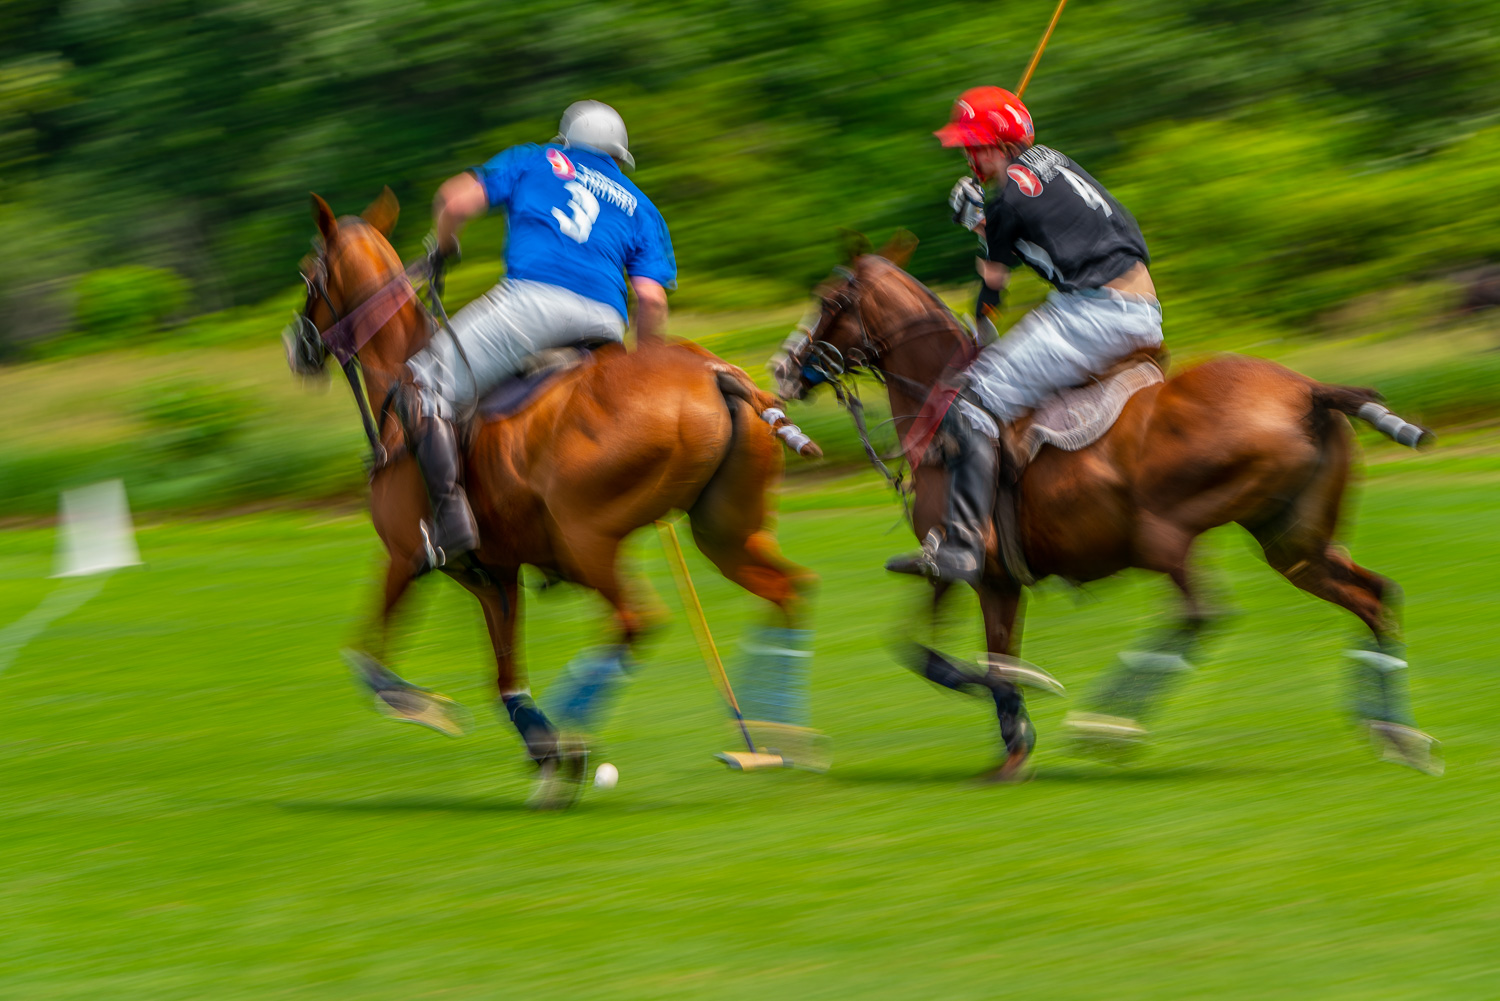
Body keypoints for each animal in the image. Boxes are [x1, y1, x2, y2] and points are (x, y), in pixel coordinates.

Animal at [286, 192, 816, 810]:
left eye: (308, 270)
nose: (297, 347)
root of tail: (715, 371)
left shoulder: (406, 554)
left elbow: (368, 658)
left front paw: (425, 708)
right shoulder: (493, 573)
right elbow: (505, 678)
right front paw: (543, 755)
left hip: (584, 532)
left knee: (638, 619)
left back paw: (580, 730)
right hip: (722, 531)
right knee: (787, 589)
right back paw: (782, 740)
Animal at [774, 246, 1440, 780]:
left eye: (829, 299)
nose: (782, 368)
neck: (937, 405)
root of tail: (1310, 390)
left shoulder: (963, 564)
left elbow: (938, 654)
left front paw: (1026, 709)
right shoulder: (992, 579)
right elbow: (968, 653)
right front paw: (1014, 748)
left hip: (1165, 531)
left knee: (1201, 614)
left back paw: (1107, 723)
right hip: (1294, 542)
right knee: (1375, 595)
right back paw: (1397, 733)